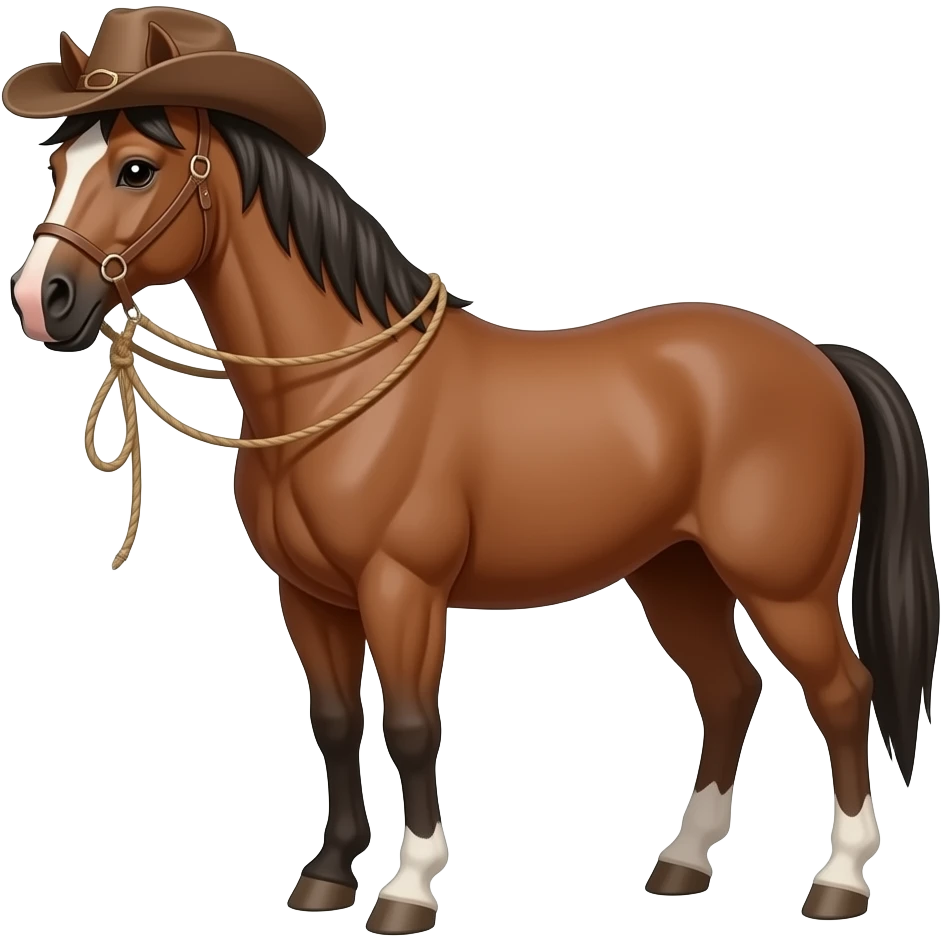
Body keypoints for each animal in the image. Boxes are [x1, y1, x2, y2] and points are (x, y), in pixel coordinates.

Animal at [9, 104, 939, 931]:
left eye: (136, 168)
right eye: (57, 170)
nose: (40, 298)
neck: (342, 389)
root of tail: (819, 357)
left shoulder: (402, 590)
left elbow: (413, 726)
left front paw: (407, 889)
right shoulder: (310, 598)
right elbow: (336, 722)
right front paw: (327, 874)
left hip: (784, 588)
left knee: (842, 694)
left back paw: (839, 880)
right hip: (676, 575)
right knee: (728, 689)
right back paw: (682, 861)